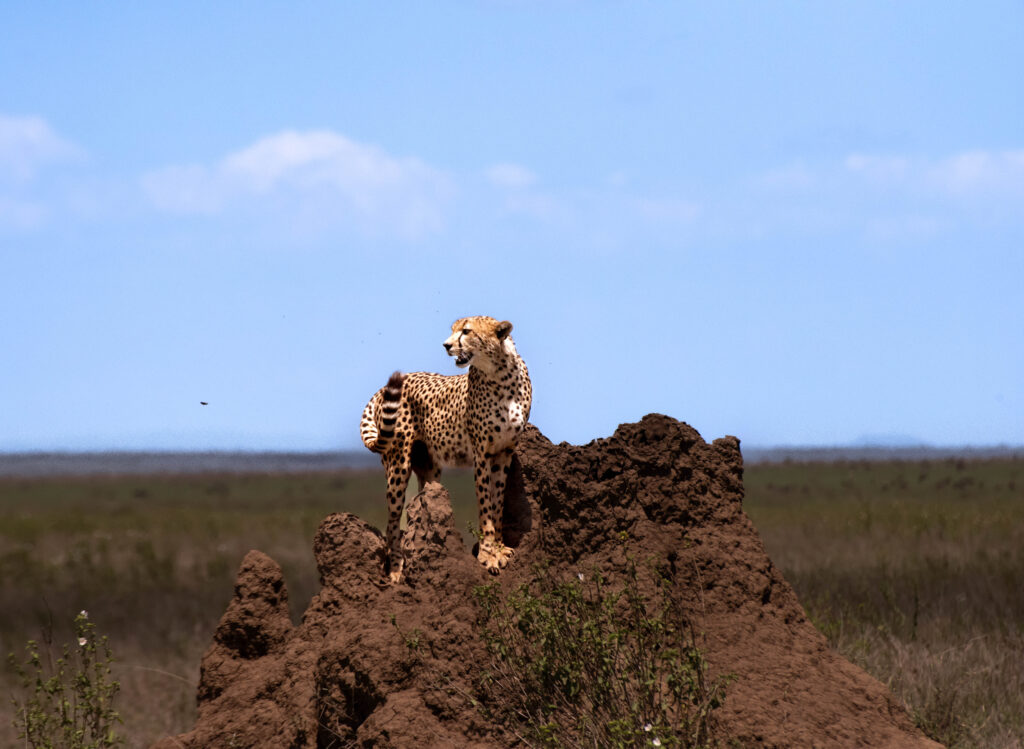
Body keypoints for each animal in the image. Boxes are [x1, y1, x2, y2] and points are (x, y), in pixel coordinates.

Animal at [360, 316, 532, 583]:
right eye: (452, 330)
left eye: (466, 331)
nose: (446, 345)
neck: (501, 374)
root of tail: (381, 390)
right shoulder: (482, 454)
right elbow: (485, 505)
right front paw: (487, 555)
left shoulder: (504, 453)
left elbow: (497, 504)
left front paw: (500, 548)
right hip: (398, 463)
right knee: (392, 522)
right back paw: (396, 570)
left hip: (429, 467)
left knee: (418, 501)